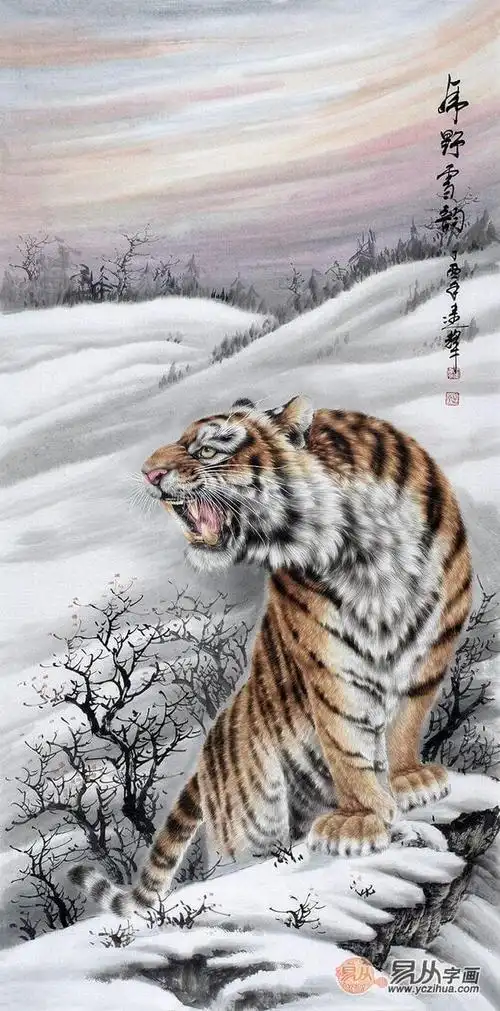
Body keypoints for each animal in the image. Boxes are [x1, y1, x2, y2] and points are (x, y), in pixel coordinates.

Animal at [69, 394, 472, 915]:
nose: (148, 473)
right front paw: (361, 820)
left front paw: (408, 780)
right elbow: (346, 741)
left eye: (207, 448)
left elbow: (406, 719)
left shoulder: (434, 646)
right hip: (250, 827)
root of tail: (207, 754)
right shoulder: (330, 665)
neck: (369, 550)